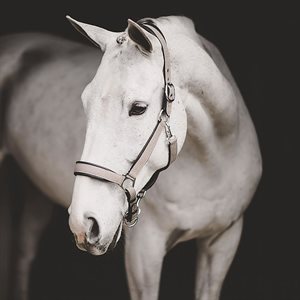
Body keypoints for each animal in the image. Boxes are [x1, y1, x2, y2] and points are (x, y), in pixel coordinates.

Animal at [0, 14, 262, 300]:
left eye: (138, 108)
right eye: (85, 102)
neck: (212, 166)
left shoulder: (223, 241)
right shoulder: (144, 252)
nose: (85, 222)